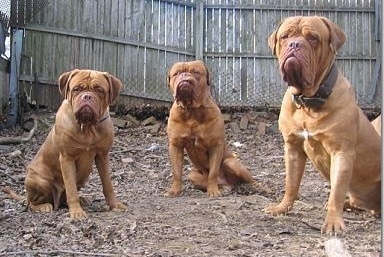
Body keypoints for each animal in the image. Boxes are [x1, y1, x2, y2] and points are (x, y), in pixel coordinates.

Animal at [24, 69, 127, 219]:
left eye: (99, 90)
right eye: (77, 89)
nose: (87, 96)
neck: (87, 127)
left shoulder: (102, 155)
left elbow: (107, 184)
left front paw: (114, 204)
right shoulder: (67, 158)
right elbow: (71, 188)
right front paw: (77, 212)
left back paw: (82, 199)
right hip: (39, 180)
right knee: (30, 204)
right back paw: (43, 206)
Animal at [166, 60, 264, 196]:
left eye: (195, 72)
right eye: (177, 73)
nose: (185, 76)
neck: (192, 110)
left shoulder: (215, 145)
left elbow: (213, 172)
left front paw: (213, 191)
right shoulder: (176, 145)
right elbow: (176, 172)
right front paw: (174, 190)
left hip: (232, 163)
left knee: (249, 179)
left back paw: (259, 188)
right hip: (193, 175)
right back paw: (224, 188)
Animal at [264, 15, 380, 233]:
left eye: (313, 38)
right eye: (285, 36)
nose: (294, 44)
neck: (309, 101)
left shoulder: (341, 153)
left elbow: (336, 191)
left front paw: (333, 222)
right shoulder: (292, 148)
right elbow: (291, 184)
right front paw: (282, 208)